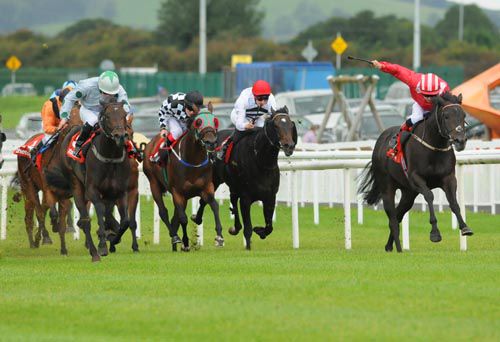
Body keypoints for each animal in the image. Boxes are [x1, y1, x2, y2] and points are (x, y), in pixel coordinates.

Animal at [45, 99, 132, 262]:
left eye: (124, 115)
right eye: (107, 116)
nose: (120, 135)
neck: (110, 156)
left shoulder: (120, 191)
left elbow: (124, 221)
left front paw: (114, 238)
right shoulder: (93, 190)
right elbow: (100, 212)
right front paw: (102, 245)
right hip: (76, 185)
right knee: (85, 220)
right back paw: (94, 253)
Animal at [143, 103, 225, 250]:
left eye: (215, 121)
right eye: (198, 122)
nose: (211, 143)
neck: (193, 161)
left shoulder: (206, 187)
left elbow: (214, 206)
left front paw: (219, 237)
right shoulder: (177, 192)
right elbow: (183, 218)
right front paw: (185, 242)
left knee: (174, 218)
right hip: (153, 183)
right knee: (163, 212)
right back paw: (175, 237)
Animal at [189, 107, 294, 251]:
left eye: (290, 124)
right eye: (276, 125)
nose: (289, 145)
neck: (261, 160)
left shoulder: (270, 197)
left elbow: (269, 227)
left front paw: (260, 231)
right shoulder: (246, 198)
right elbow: (248, 228)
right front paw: (248, 247)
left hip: (233, 185)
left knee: (232, 199)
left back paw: (234, 228)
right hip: (214, 180)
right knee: (205, 200)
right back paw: (197, 218)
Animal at [360, 92, 472, 252]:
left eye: (463, 115)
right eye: (446, 116)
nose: (460, 141)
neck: (434, 147)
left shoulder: (449, 178)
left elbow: (453, 202)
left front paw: (464, 227)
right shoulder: (416, 178)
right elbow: (430, 196)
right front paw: (435, 233)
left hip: (408, 193)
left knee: (398, 215)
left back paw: (389, 246)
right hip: (387, 187)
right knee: (392, 218)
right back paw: (399, 249)